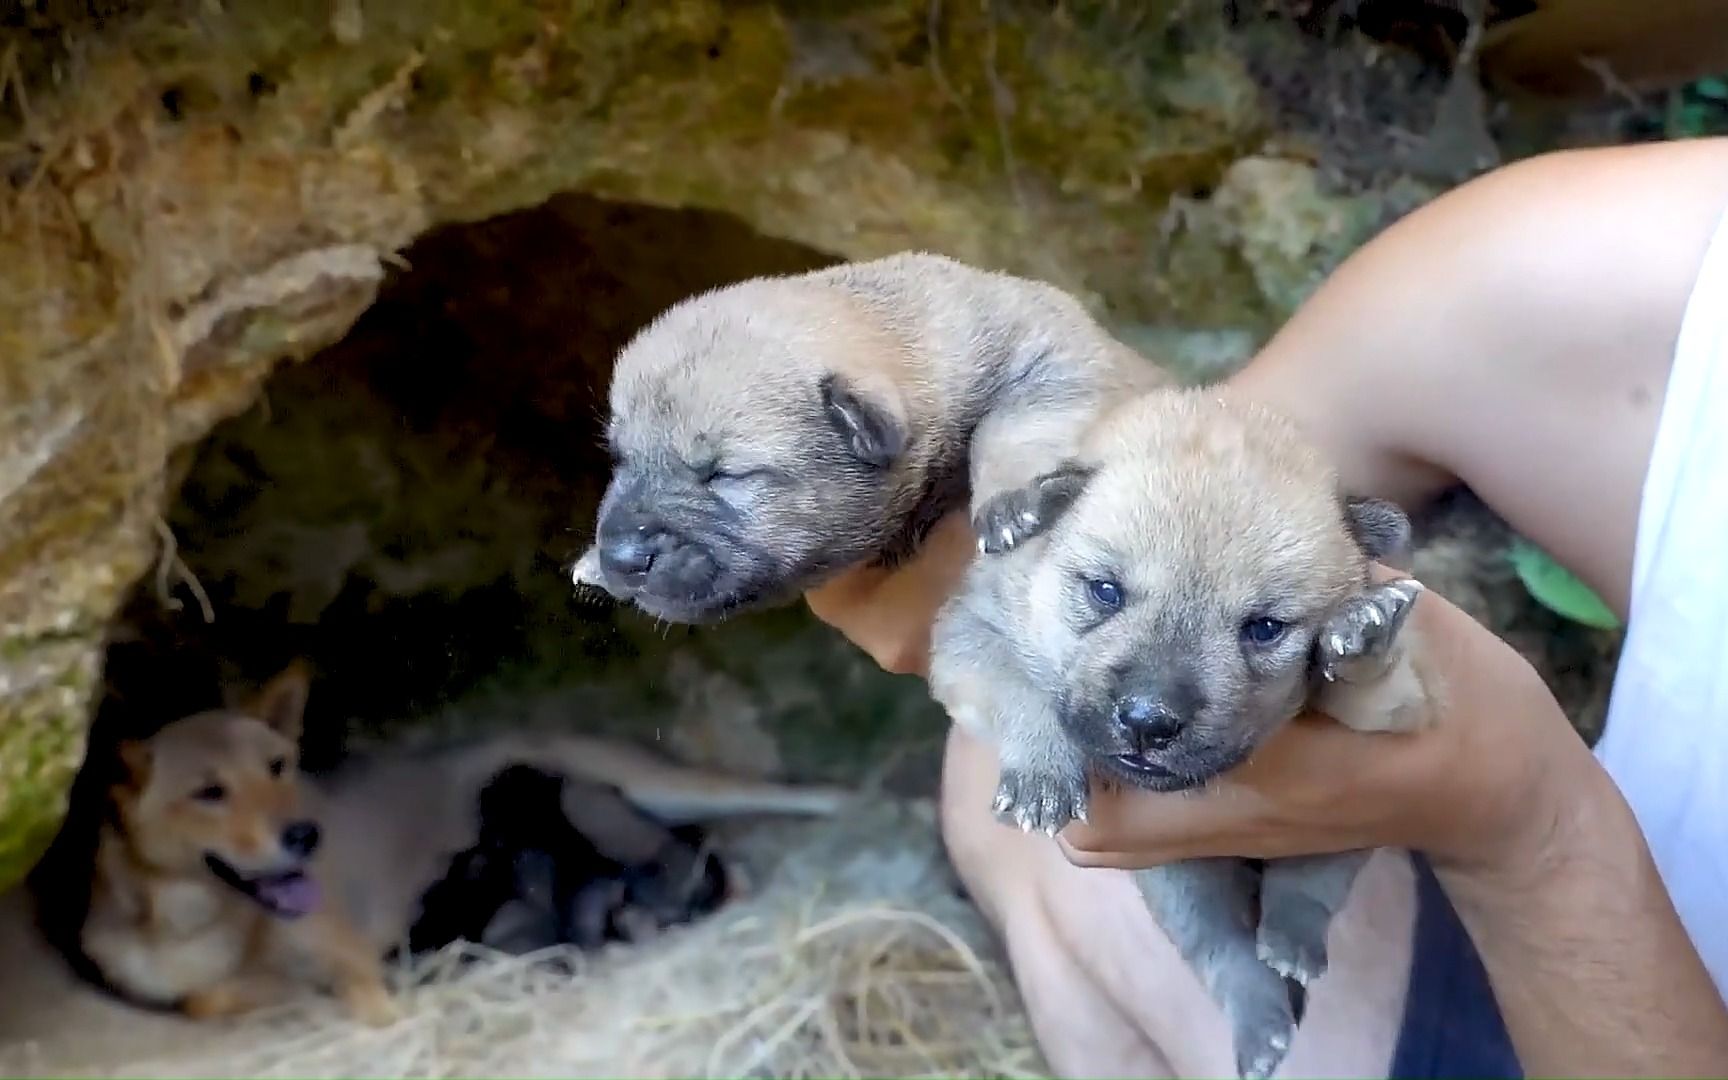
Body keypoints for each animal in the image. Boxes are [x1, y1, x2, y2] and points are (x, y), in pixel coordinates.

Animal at [933, 387, 1430, 1078]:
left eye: (1265, 628)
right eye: (1105, 591)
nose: (1149, 720)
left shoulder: (1400, 709)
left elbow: (1370, 686)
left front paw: (1362, 631)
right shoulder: (970, 631)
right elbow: (1017, 688)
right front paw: (1043, 772)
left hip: (1356, 828)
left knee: (1309, 886)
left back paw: (1292, 942)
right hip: (1179, 882)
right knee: (1222, 950)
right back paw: (1261, 1018)